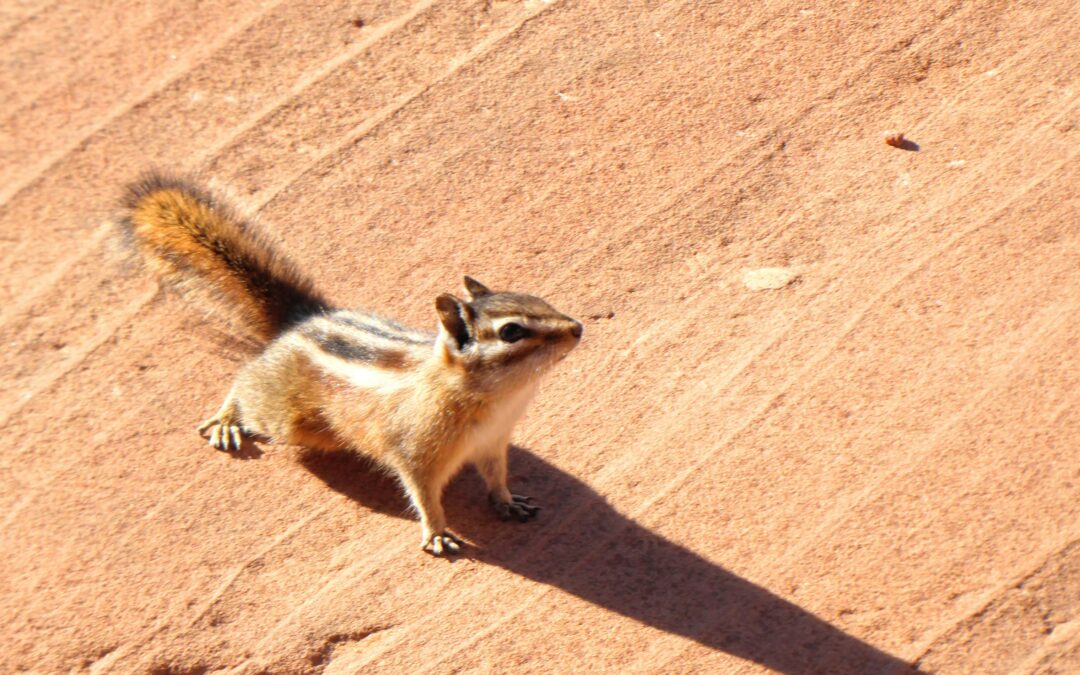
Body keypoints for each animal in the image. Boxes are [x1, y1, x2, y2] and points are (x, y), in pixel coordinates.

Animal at [117, 173, 582, 556]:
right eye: (511, 332)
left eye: (537, 298)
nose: (577, 327)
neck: (496, 397)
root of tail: (301, 320)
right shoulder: (415, 453)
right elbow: (423, 494)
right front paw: (436, 532)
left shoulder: (493, 443)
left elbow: (497, 476)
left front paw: (507, 501)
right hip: (287, 419)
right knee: (245, 381)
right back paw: (227, 419)